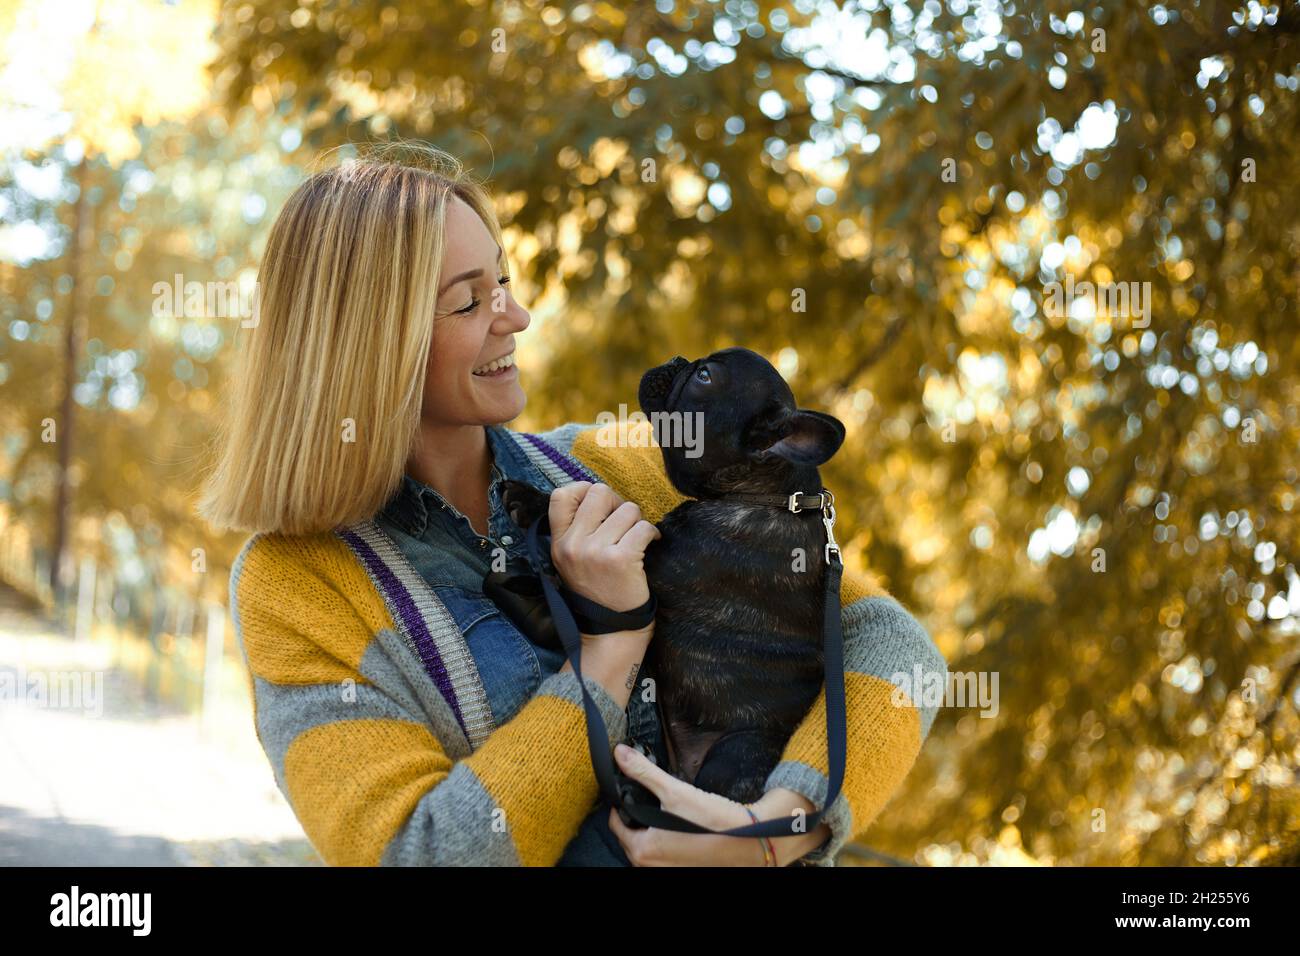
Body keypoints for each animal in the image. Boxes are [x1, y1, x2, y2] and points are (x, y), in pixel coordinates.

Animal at [493, 348, 842, 806]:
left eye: (705, 376)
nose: (679, 359)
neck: (767, 495)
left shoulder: (652, 562)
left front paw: (529, 500)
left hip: (740, 751)